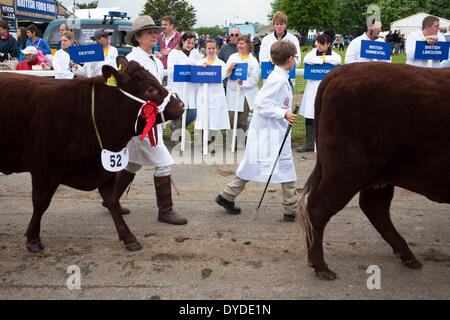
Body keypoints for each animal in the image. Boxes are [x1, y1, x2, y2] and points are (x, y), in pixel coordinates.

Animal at [0, 57, 184, 252]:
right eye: (150, 89)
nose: (181, 105)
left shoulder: (105, 168)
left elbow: (111, 201)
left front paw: (128, 237)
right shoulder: (45, 168)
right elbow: (40, 203)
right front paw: (33, 238)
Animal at [298, 62, 448, 280]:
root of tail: (341, 71)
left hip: (378, 177)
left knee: (375, 209)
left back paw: (407, 255)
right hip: (346, 172)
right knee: (318, 208)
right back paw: (321, 267)